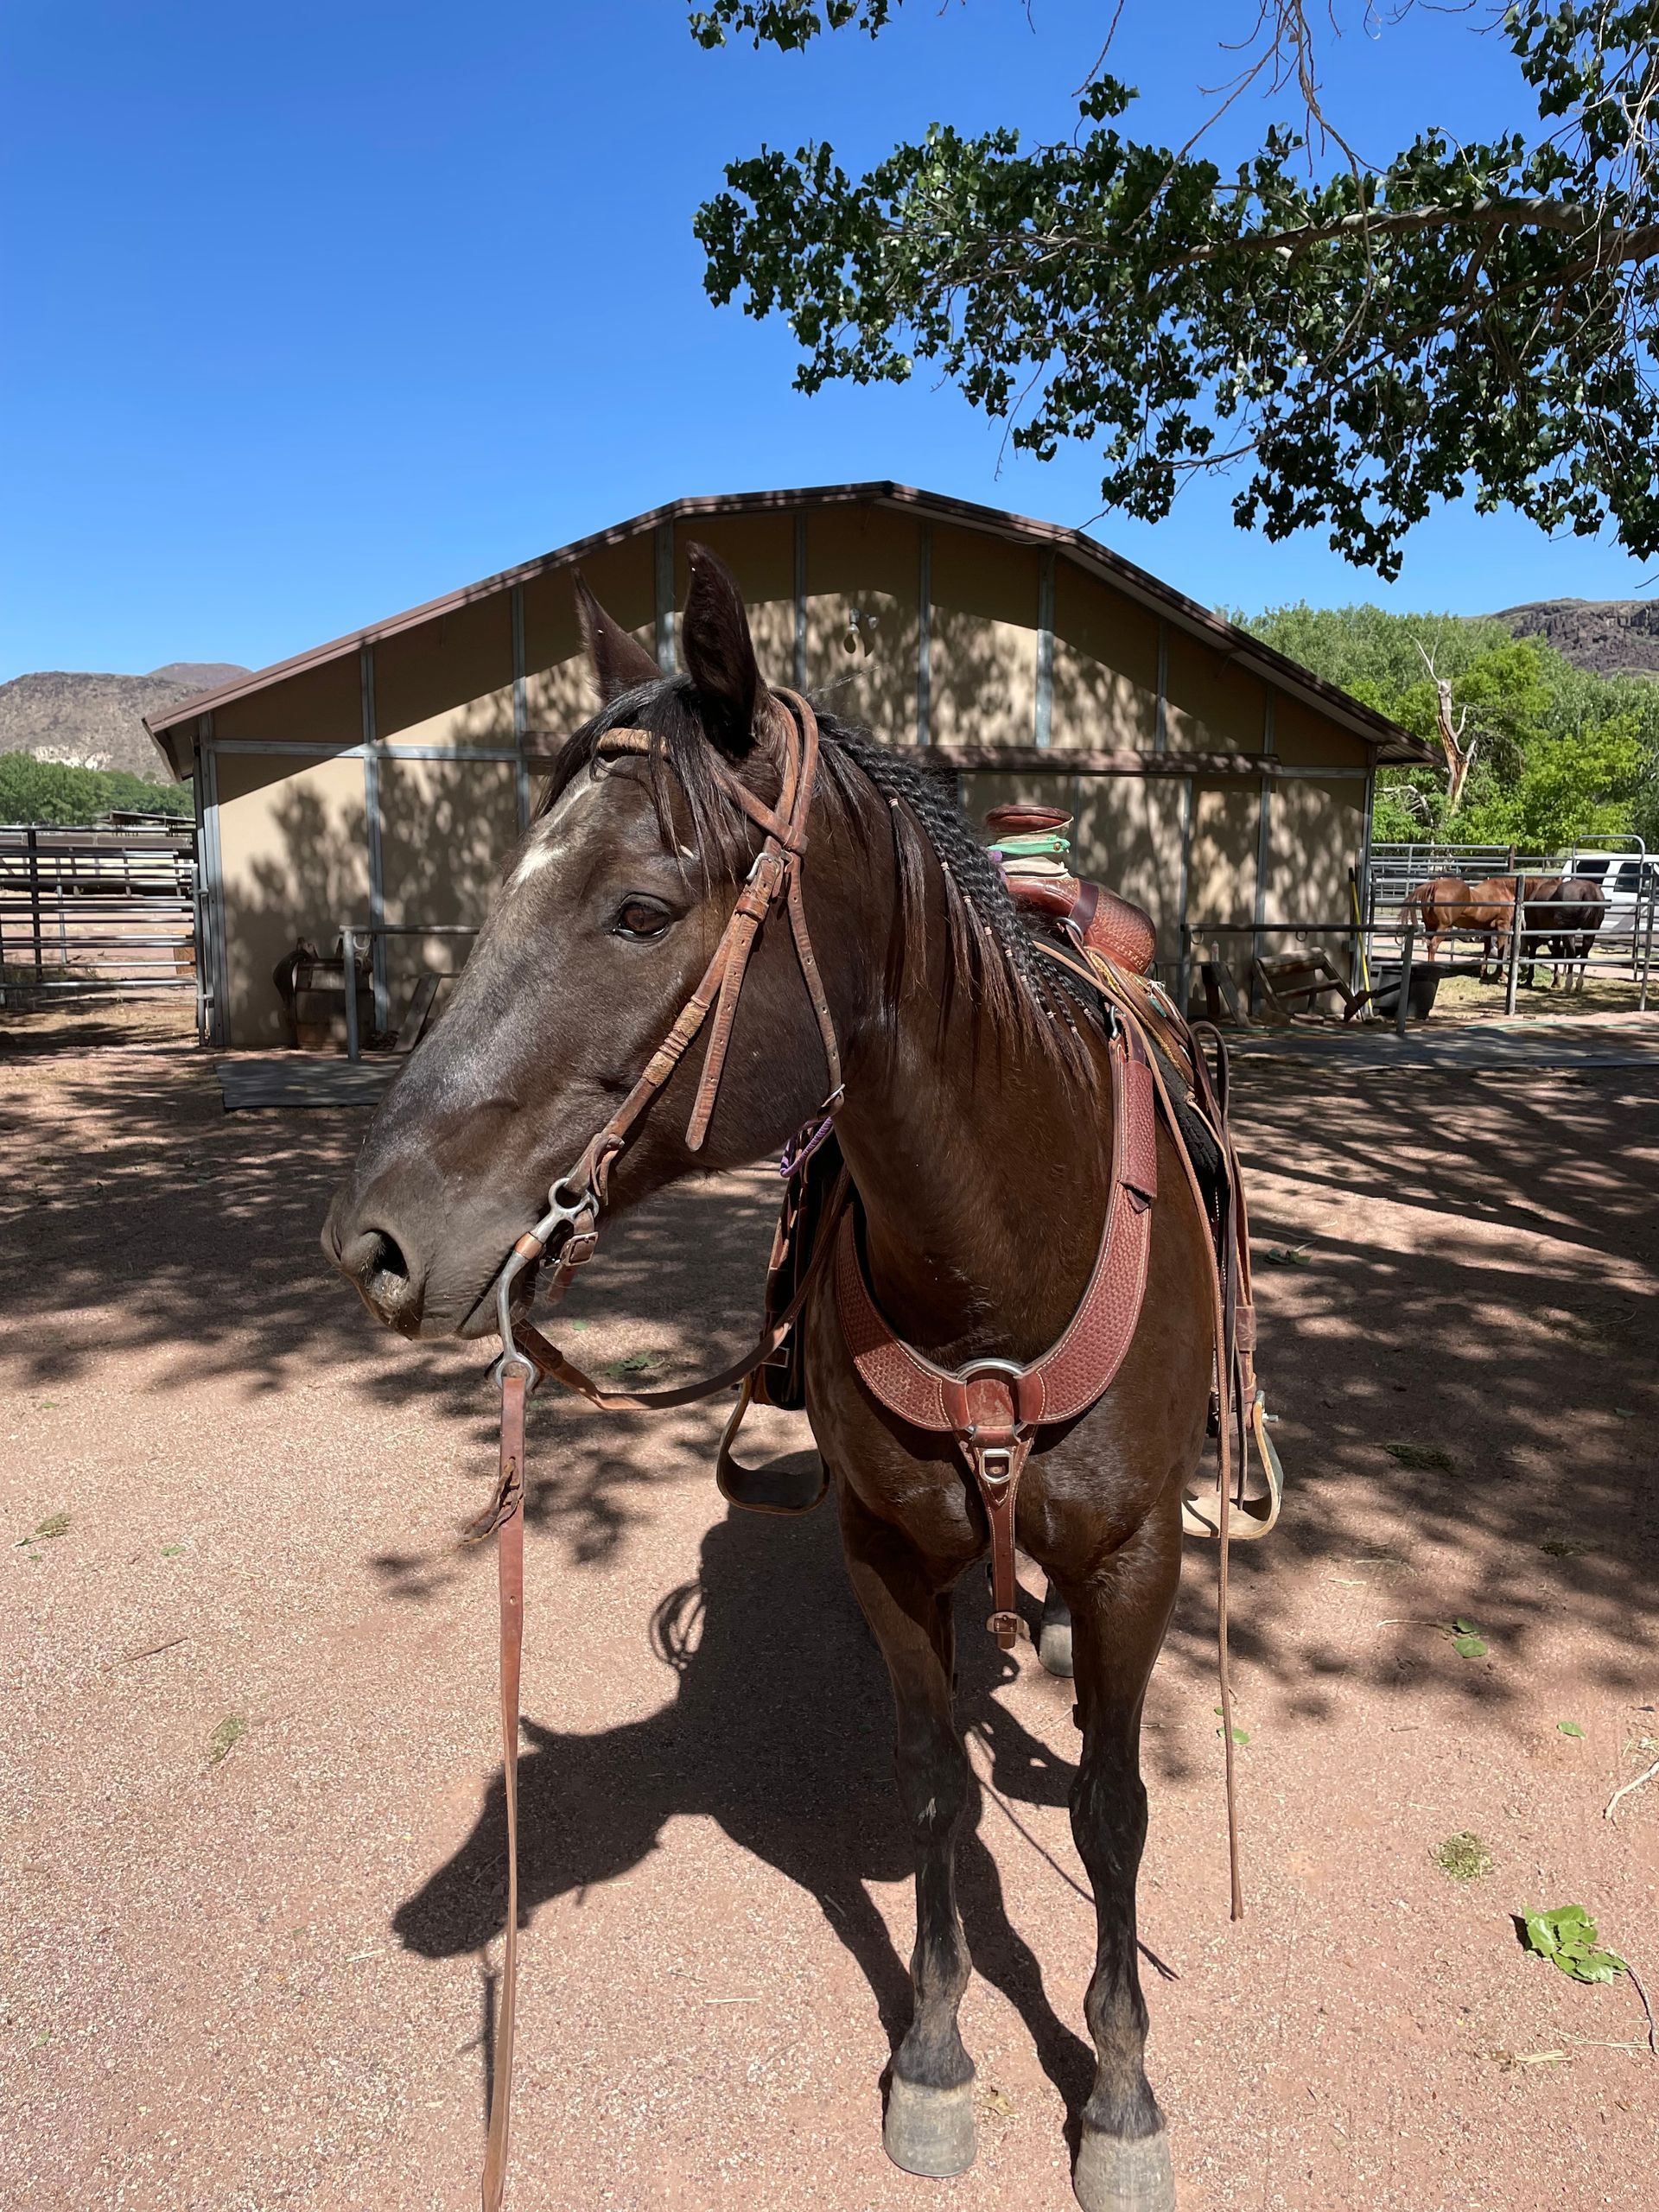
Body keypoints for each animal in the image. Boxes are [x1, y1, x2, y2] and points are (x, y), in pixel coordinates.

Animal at [323, 547, 1223, 2212]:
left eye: (639, 910)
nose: (373, 1242)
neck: (1007, 1249)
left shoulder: (1136, 1559)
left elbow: (1118, 1813)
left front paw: (1123, 2095)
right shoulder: (886, 1552)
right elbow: (931, 1791)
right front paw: (933, 2059)